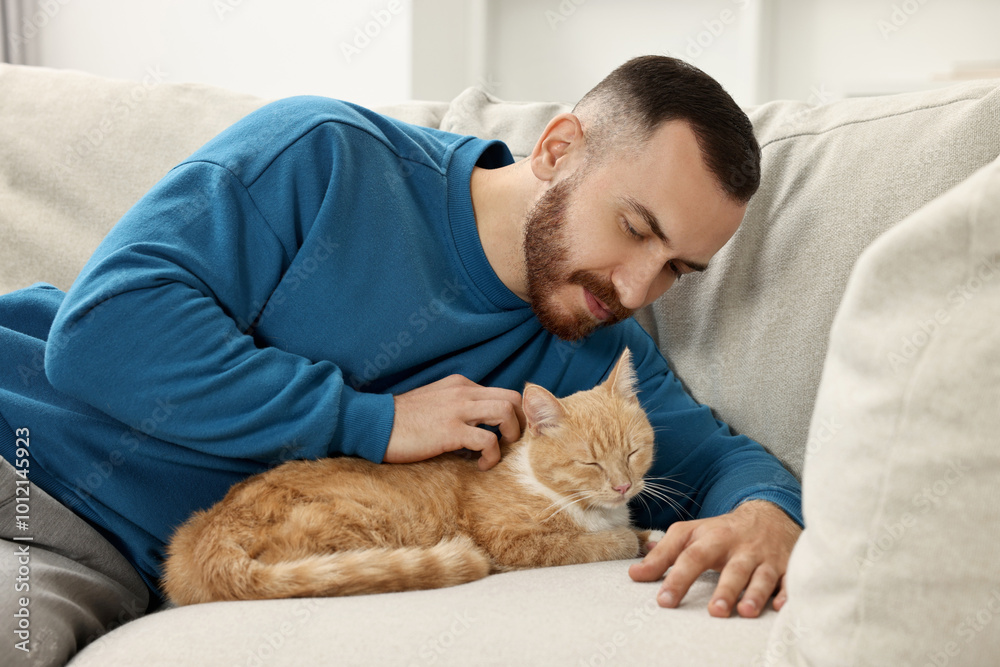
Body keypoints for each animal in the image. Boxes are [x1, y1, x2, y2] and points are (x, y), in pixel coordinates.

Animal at [164, 350, 660, 604]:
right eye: (589, 463)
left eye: (633, 452)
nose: (623, 486)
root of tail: (209, 533)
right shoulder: (512, 542)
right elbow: (597, 544)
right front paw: (629, 539)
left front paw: (651, 535)